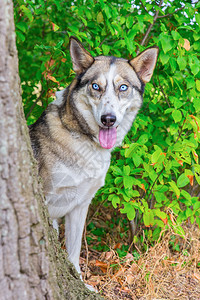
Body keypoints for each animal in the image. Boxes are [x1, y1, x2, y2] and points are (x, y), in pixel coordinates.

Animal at [29, 37, 158, 282]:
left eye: (123, 87)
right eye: (95, 86)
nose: (108, 119)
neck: (82, 138)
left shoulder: (80, 205)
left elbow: (73, 251)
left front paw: (80, 282)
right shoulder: (47, 201)